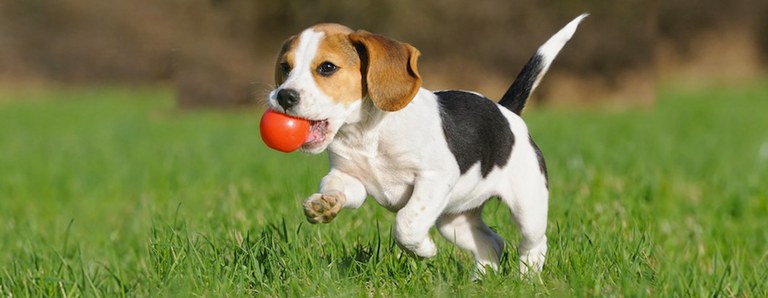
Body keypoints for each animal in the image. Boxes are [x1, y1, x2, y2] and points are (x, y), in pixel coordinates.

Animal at [268, 14, 584, 274]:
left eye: (327, 67)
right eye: (285, 67)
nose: (283, 96)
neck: (366, 133)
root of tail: (506, 111)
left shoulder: (434, 178)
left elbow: (406, 223)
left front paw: (424, 250)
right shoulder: (350, 179)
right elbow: (336, 186)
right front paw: (325, 204)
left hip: (528, 206)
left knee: (533, 244)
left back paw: (527, 279)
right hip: (454, 221)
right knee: (492, 243)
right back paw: (480, 281)